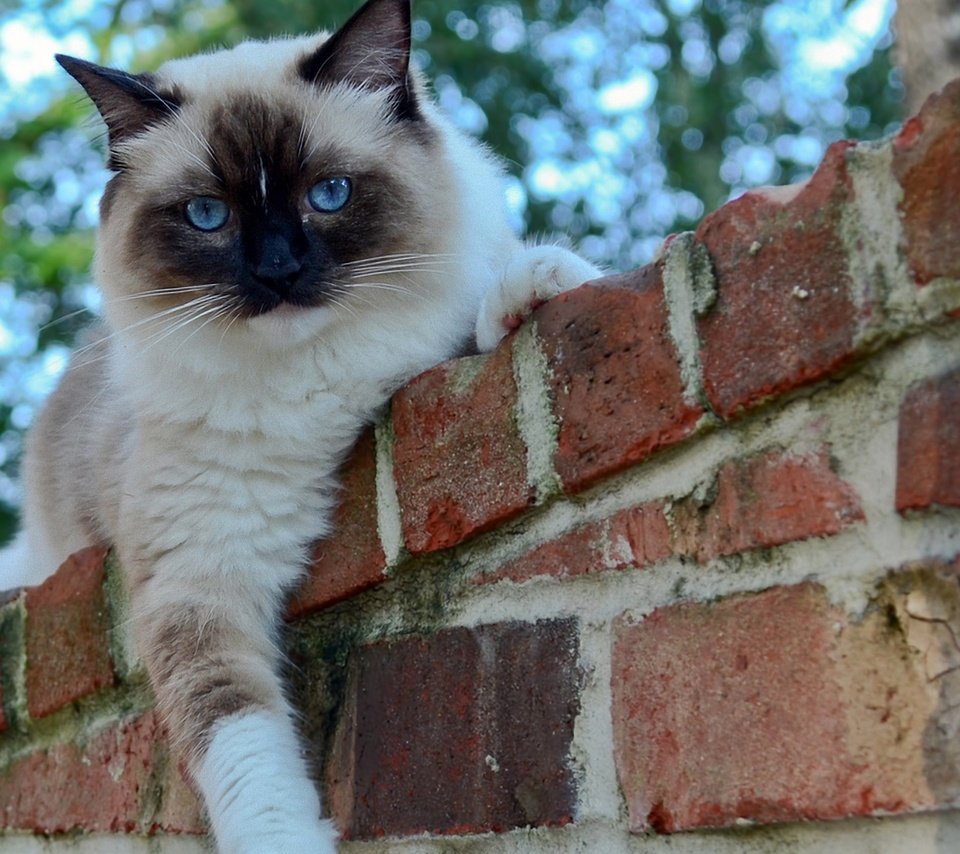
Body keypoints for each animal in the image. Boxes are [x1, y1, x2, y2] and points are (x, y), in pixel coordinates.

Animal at [0, 3, 600, 852]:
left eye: (330, 194)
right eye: (208, 215)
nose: (278, 271)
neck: (311, 387)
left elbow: (475, 326)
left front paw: (537, 285)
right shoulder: (198, 587)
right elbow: (242, 748)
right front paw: (287, 837)